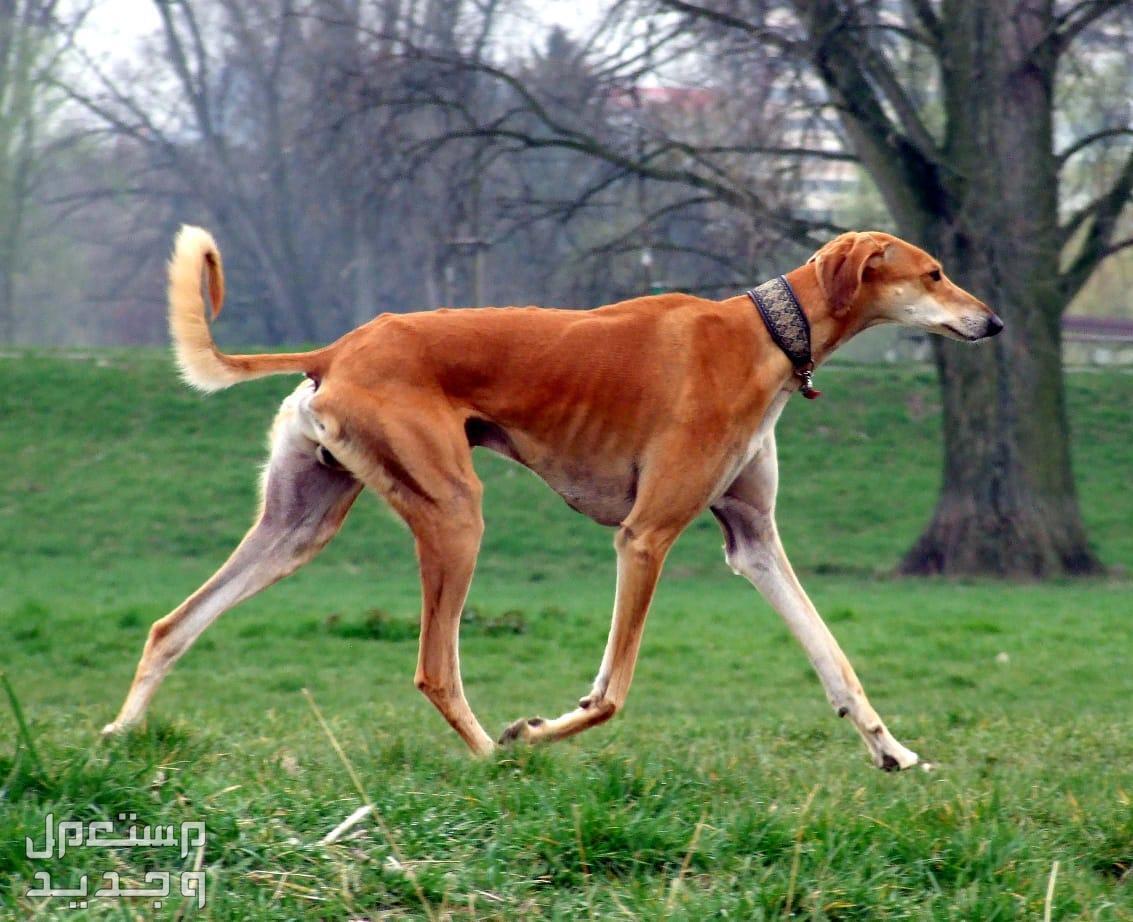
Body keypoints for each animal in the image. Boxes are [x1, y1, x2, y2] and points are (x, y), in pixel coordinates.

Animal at [104, 228, 1001, 774]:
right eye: (933, 272)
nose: (992, 321)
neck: (761, 334)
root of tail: (336, 350)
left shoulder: (753, 542)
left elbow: (832, 657)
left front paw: (892, 752)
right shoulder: (644, 536)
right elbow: (609, 693)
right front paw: (535, 729)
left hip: (298, 525)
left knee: (171, 626)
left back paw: (118, 734)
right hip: (454, 514)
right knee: (436, 669)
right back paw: (495, 757)